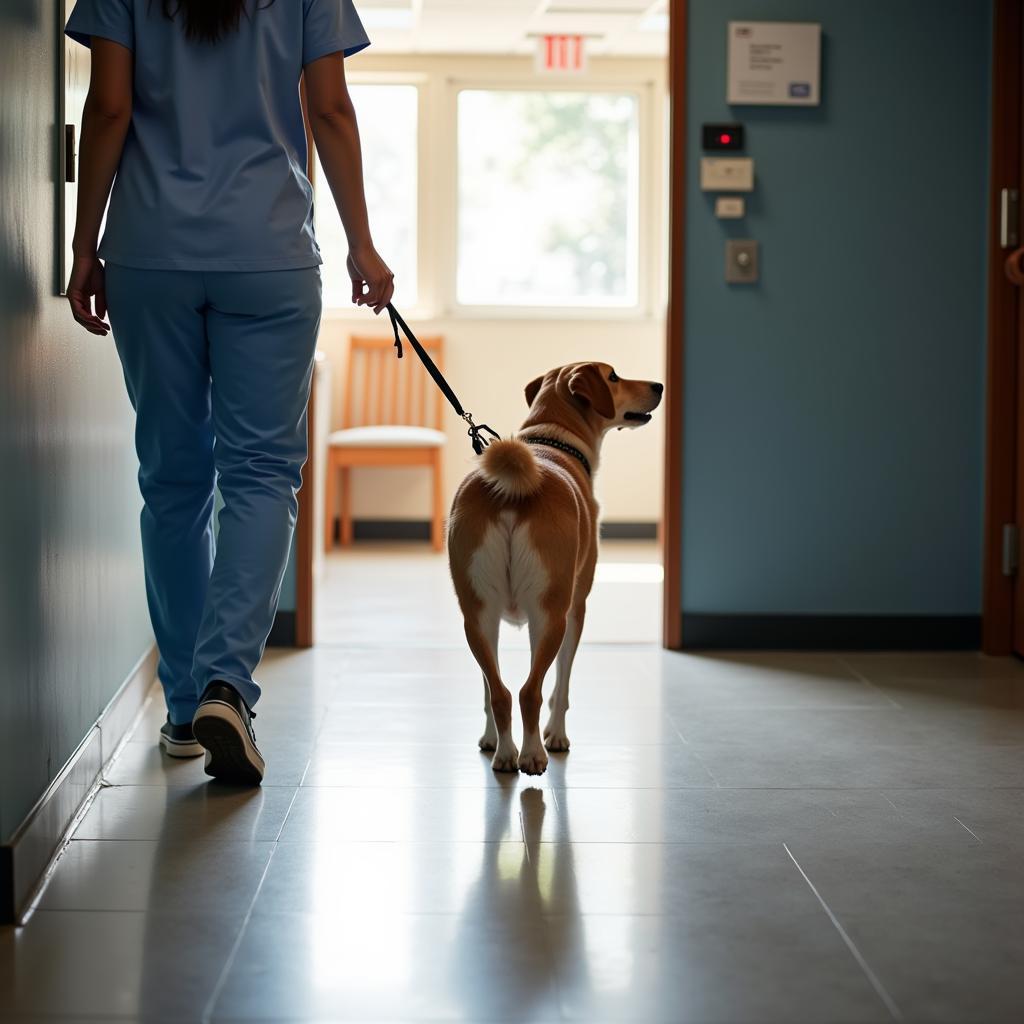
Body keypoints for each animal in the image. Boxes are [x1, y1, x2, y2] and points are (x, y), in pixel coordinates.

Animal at [448, 364, 663, 770]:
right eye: (613, 377)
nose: (658, 385)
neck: (551, 437)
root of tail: (511, 491)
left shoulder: (496, 618)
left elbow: (488, 686)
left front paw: (489, 739)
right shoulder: (574, 608)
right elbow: (561, 685)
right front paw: (557, 735)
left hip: (477, 614)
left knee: (500, 692)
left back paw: (504, 752)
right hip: (552, 614)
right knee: (529, 691)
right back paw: (533, 753)